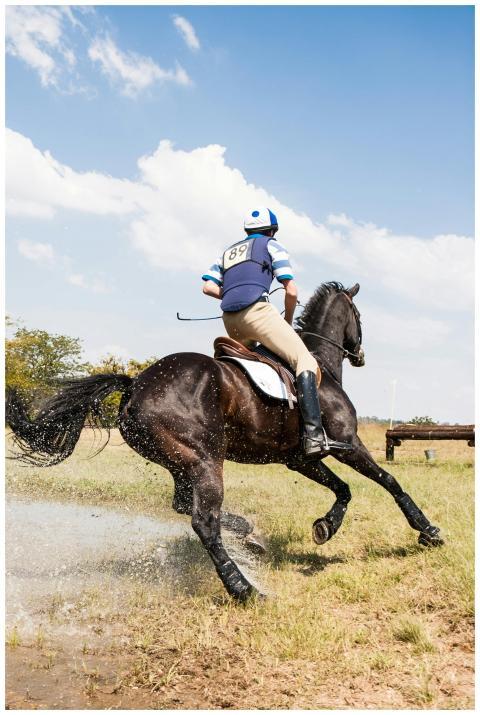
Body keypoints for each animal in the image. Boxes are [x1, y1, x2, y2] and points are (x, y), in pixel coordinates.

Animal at [6, 282, 444, 602]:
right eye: (359, 317)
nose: (361, 354)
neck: (318, 363)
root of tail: (135, 385)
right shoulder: (348, 443)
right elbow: (389, 481)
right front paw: (427, 531)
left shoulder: (300, 458)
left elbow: (344, 489)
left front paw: (325, 527)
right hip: (204, 460)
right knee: (203, 521)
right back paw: (244, 589)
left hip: (182, 461)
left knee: (185, 505)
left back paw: (248, 536)